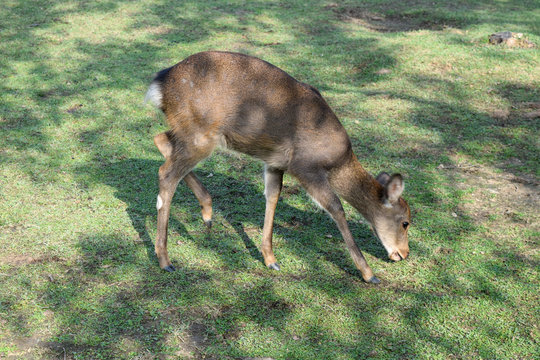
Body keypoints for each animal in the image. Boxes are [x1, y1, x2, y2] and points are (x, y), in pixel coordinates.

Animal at [143, 50, 410, 282]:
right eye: (406, 222)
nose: (404, 254)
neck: (337, 161)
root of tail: (160, 84)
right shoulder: (306, 168)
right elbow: (336, 208)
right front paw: (368, 273)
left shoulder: (275, 163)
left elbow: (273, 196)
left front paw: (270, 259)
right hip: (201, 134)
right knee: (166, 173)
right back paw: (165, 260)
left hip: (187, 132)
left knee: (160, 139)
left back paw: (207, 213)